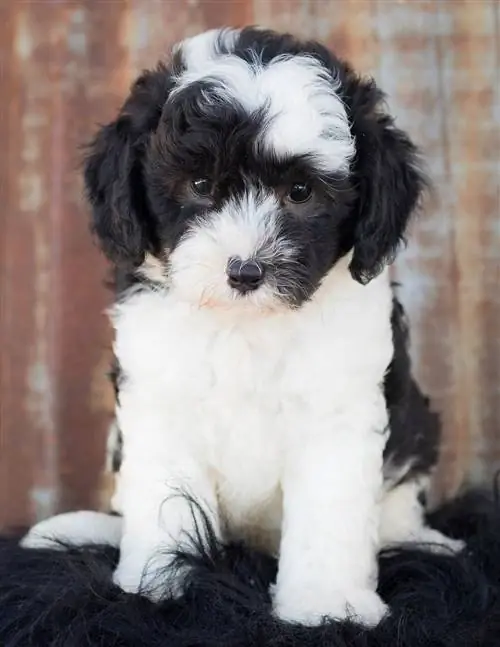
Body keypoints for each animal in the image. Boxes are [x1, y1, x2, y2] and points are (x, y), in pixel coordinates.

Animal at [23, 26, 462, 628]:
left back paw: (424, 542)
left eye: (299, 193)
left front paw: (327, 604)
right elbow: (165, 501)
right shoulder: (160, 398)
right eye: (200, 184)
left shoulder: (338, 408)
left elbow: (329, 510)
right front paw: (158, 586)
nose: (246, 271)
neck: (245, 325)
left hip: (415, 430)